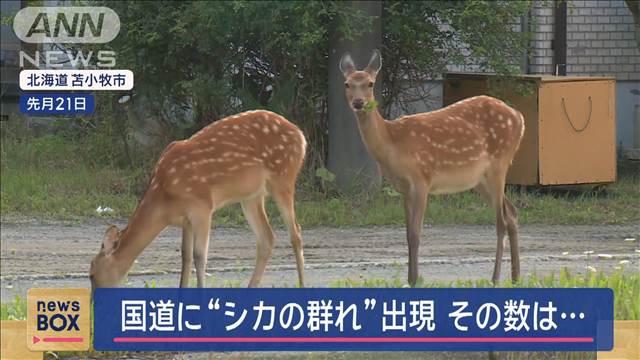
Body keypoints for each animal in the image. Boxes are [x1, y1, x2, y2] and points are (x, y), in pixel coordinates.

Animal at [90, 109, 308, 292]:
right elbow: (185, 255)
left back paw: (302, 285)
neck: (164, 199)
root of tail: (301, 136)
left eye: (92, 274)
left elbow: (199, 256)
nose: (93, 304)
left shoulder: (202, 207)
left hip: (283, 177)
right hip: (251, 196)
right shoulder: (185, 219)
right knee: (267, 237)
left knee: (295, 233)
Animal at [340, 50, 524, 286]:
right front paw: (410, 279)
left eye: (370, 83)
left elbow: (415, 235)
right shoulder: (404, 189)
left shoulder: (422, 180)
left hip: (499, 164)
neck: (392, 144)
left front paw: (415, 280)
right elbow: (407, 234)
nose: (358, 102)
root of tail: (519, 117)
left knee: (501, 221)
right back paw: (516, 277)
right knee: (511, 212)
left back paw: (495, 278)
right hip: (479, 180)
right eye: (347, 83)